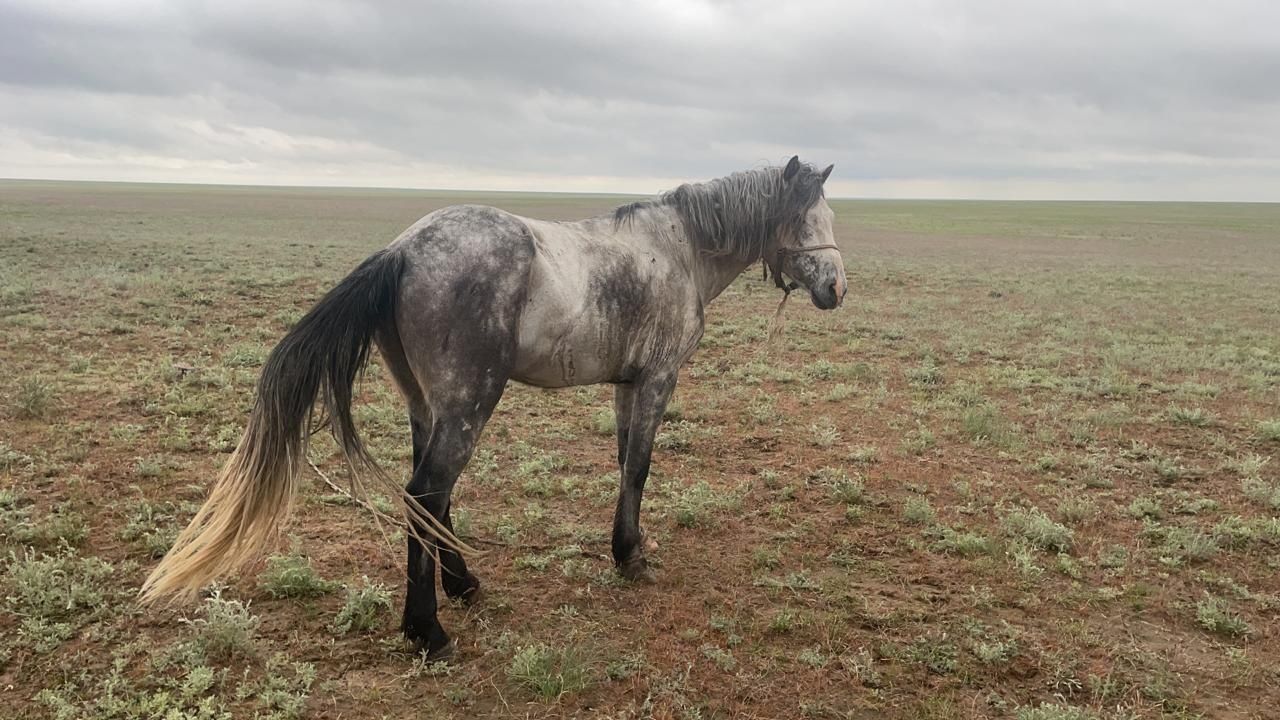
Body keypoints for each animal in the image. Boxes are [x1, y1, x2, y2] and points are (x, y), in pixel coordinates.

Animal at [142, 155, 849, 655]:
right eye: (806, 219)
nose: (837, 289)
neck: (677, 249)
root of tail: (402, 249)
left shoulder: (626, 385)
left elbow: (623, 462)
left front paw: (622, 548)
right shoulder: (656, 380)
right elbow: (641, 468)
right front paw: (632, 557)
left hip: (428, 406)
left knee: (432, 497)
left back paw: (461, 585)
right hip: (469, 402)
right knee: (426, 492)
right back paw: (427, 631)